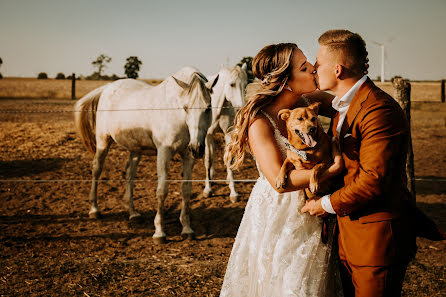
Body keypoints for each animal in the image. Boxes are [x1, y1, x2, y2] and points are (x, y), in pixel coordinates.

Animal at [74, 67, 218, 243]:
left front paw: (187, 229)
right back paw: (94, 210)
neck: (175, 112)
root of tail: (108, 88)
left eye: (208, 108)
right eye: (185, 108)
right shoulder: (164, 152)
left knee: (130, 174)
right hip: (103, 141)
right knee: (97, 169)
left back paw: (133, 213)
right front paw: (159, 233)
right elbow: (162, 191)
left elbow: (186, 190)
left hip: (135, 150)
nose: (197, 147)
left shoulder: (187, 156)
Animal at [203, 63, 249, 201]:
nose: (241, 108)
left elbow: (229, 160)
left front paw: (233, 193)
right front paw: (207, 189)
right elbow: (208, 160)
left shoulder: (228, 134)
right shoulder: (208, 135)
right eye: (232, 84)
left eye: (245, 84)